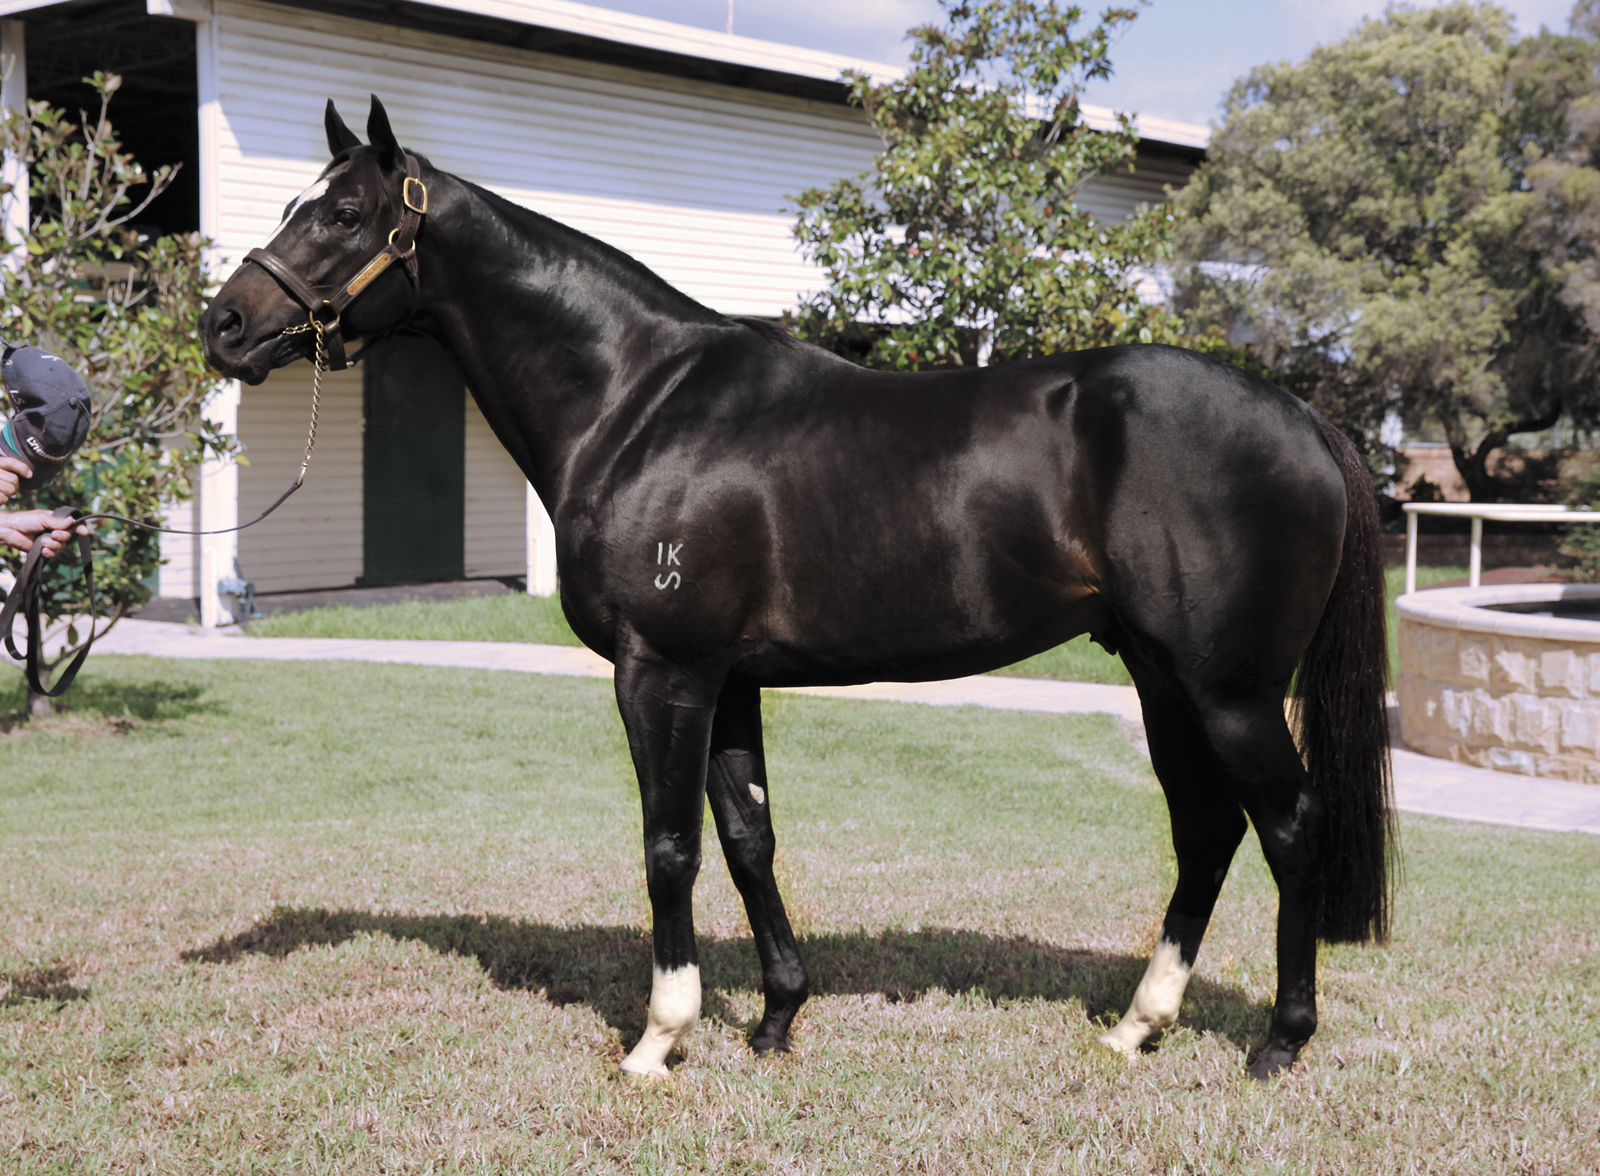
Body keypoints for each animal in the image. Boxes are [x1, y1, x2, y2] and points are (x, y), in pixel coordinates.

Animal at [200, 101, 1388, 1088]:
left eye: (343, 212)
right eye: (298, 203)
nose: (225, 324)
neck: (637, 403)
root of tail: (1299, 413)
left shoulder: (662, 673)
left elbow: (669, 848)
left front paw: (659, 1039)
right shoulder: (727, 681)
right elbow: (747, 839)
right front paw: (776, 1019)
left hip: (1227, 689)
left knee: (1287, 826)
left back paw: (1280, 1042)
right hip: (1160, 676)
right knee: (1207, 830)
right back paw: (1139, 1026)